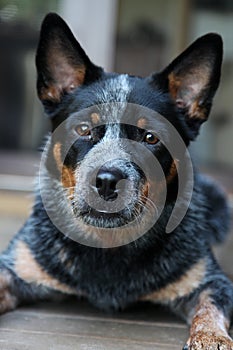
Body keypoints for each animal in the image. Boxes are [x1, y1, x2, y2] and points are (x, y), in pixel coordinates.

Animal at [0, 12, 233, 348]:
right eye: (83, 129)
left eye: (150, 137)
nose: (108, 180)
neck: (109, 246)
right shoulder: (17, 263)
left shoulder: (210, 280)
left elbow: (210, 306)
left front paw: (211, 337)